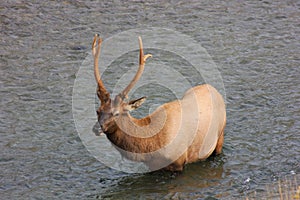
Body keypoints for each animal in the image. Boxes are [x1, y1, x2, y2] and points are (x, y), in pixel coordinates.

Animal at [92, 34, 226, 172]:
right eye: (98, 111)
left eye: (117, 113)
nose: (97, 128)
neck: (152, 148)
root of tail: (214, 89)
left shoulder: (179, 162)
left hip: (220, 135)